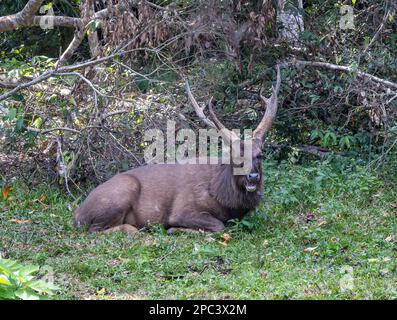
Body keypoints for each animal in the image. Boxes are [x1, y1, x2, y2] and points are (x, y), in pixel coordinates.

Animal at [74, 65, 282, 235]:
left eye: (260, 155)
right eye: (235, 156)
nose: (253, 176)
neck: (225, 200)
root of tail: (77, 215)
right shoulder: (183, 209)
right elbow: (218, 226)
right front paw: (175, 229)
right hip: (123, 190)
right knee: (95, 230)